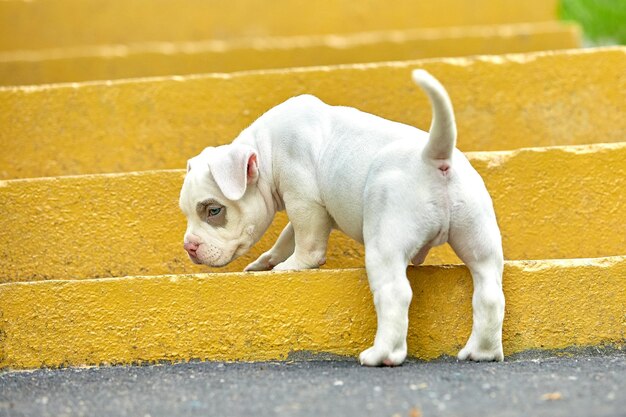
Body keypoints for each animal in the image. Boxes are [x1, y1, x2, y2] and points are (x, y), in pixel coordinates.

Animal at [178, 70, 504, 366]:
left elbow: (306, 241)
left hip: (385, 243)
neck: (264, 147)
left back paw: (382, 355)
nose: (189, 247)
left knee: (395, 294)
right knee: (489, 293)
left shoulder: (303, 200)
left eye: (214, 210)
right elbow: (288, 235)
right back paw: (482, 352)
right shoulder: (315, 208)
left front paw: (292, 266)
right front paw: (266, 260)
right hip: (480, 241)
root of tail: (435, 159)